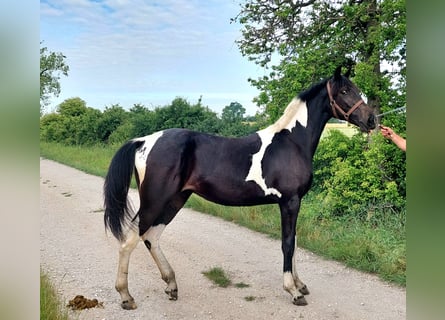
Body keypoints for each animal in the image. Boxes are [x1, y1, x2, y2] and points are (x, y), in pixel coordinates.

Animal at [103, 66, 374, 308]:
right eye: (345, 91)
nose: (371, 120)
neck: (291, 142)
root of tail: (143, 142)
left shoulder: (294, 202)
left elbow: (295, 243)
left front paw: (300, 284)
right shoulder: (289, 201)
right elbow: (287, 243)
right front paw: (294, 291)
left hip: (176, 199)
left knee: (151, 236)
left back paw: (171, 285)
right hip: (154, 201)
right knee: (129, 240)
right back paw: (126, 297)